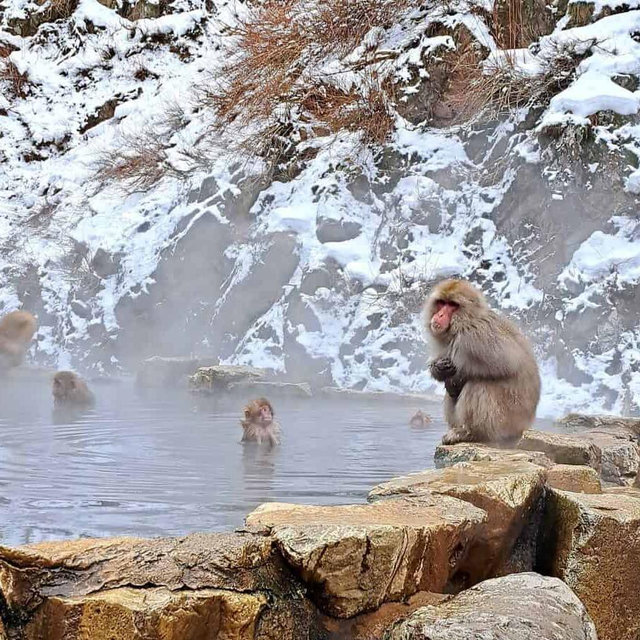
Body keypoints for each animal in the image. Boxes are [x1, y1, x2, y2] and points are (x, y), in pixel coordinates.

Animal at [424, 278, 540, 445]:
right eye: (441, 303)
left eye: (452, 305)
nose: (439, 315)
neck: (464, 321)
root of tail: (524, 426)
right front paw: (439, 368)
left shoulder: (474, 337)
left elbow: (508, 363)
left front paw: (458, 378)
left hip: (506, 421)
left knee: (478, 384)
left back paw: (470, 433)